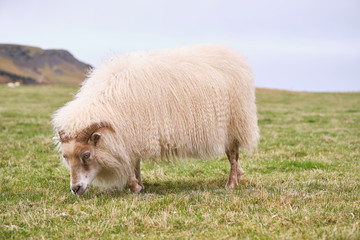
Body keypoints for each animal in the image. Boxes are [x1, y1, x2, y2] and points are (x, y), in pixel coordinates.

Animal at [52, 43, 258, 195]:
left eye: (86, 154)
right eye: (65, 156)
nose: (75, 189)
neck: (108, 103)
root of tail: (235, 56)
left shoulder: (127, 135)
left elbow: (129, 163)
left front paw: (135, 187)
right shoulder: (131, 134)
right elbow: (135, 162)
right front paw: (140, 185)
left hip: (235, 122)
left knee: (233, 154)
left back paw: (231, 183)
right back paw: (239, 175)